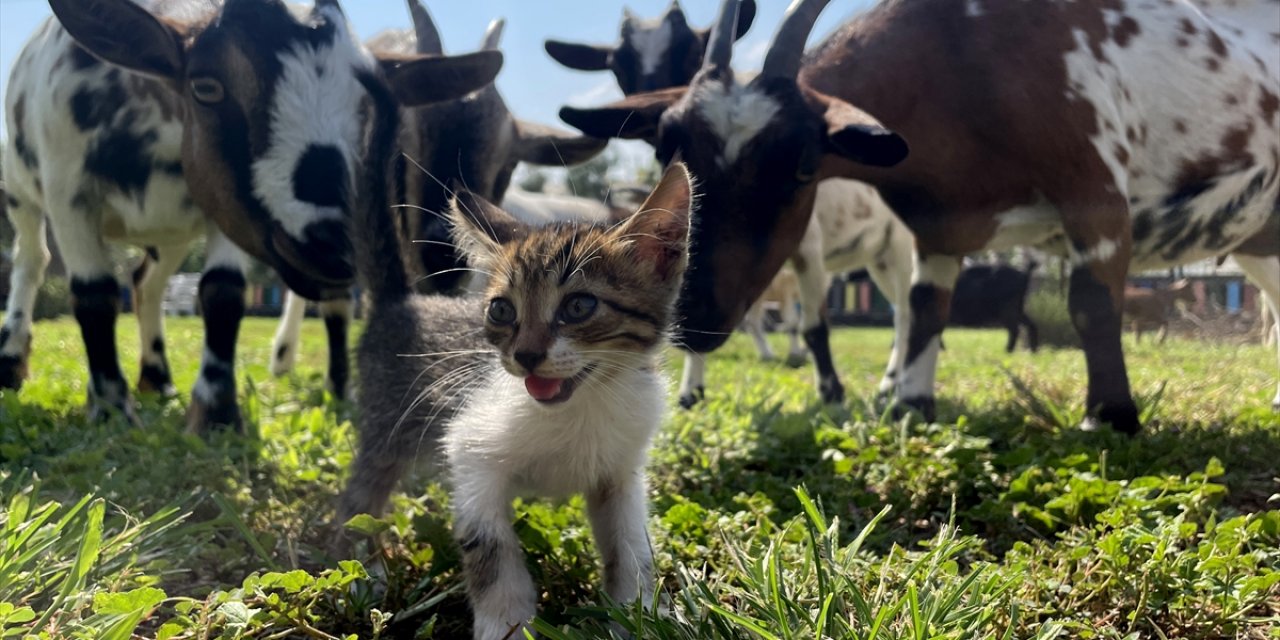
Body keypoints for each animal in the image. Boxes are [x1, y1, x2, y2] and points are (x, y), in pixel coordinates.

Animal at [0, 0, 499, 432]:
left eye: (370, 108)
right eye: (205, 87)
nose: (335, 244)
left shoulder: (227, 210)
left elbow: (224, 293)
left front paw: (216, 413)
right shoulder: (69, 190)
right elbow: (95, 295)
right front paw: (109, 409)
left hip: (172, 231)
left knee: (147, 284)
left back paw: (157, 379)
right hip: (22, 195)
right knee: (32, 263)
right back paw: (13, 361)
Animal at [337, 162, 691, 637]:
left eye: (579, 306)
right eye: (501, 310)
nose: (526, 355)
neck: (581, 405)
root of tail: (403, 303)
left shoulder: (620, 471)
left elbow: (632, 544)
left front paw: (637, 613)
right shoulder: (471, 448)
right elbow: (490, 544)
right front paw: (504, 621)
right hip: (384, 429)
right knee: (359, 499)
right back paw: (363, 573)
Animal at [560, 0, 1280, 432]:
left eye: (803, 164)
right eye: (668, 149)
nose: (696, 314)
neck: (971, 57)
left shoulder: (1096, 195)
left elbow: (1091, 305)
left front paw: (1110, 416)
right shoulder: (937, 229)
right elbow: (926, 309)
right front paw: (912, 403)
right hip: (1258, 238)